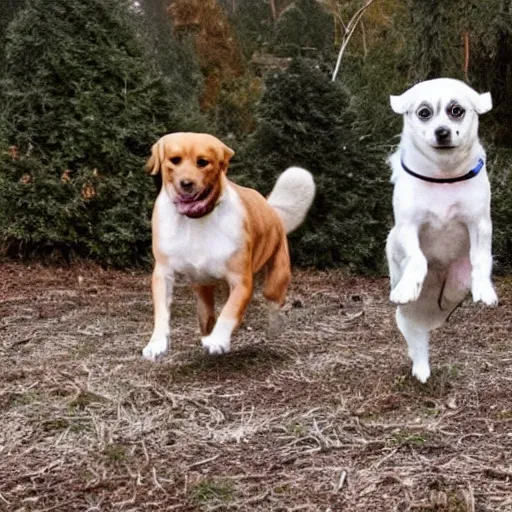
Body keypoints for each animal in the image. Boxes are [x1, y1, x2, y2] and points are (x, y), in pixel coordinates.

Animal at [386, 78, 498, 382]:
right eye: (424, 113)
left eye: (456, 110)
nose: (442, 131)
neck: (443, 178)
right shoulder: (407, 227)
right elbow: (417, 258)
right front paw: (410, 282)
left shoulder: (480, 224)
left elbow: (481, 259)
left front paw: (485, 290)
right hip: (408, 314)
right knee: (417, 340)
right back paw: (421, 367)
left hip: (458, 282)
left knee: (449, 295)